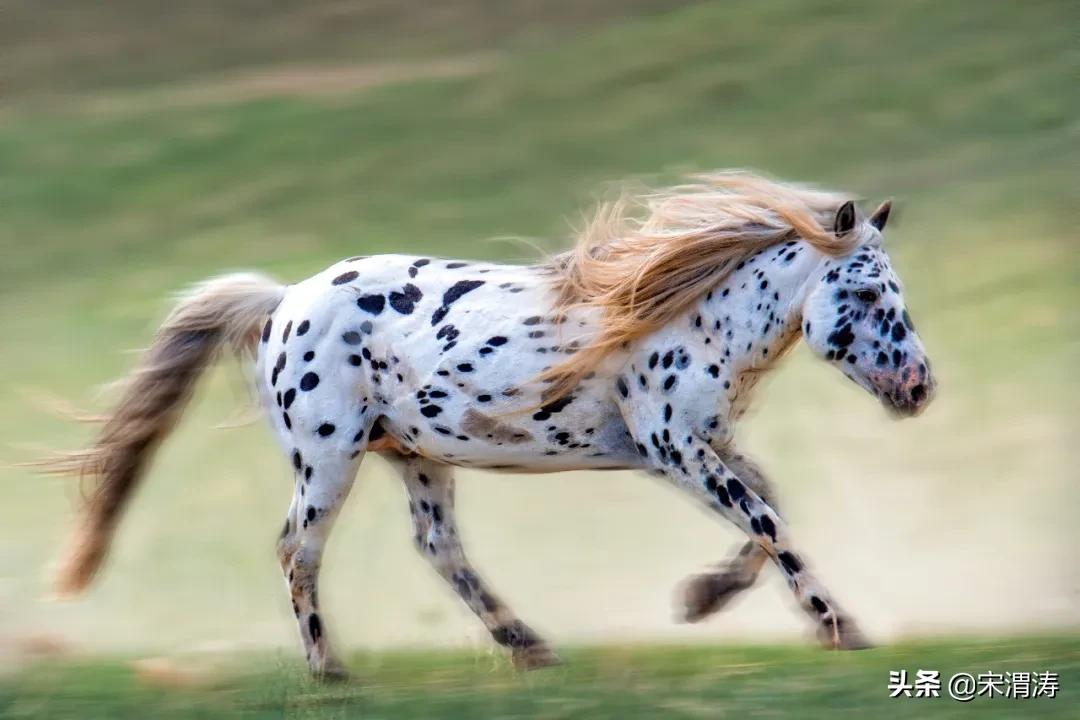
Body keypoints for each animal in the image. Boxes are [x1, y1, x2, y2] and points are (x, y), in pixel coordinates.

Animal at [46, 171, 933, 677]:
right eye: (864, 292)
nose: (919, 387)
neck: (693, 320)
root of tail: (282, 304)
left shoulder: (701, 445)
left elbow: (766, 511)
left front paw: (699, 600)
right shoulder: (674, 448)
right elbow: (768, 520)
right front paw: (840, 627)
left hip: (414, 456)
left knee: (437, 547)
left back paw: (528, 644)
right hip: (327, 461)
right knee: (298, 550)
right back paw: (329, 669)